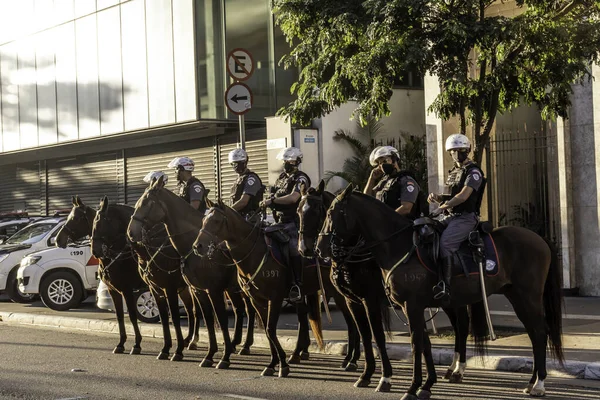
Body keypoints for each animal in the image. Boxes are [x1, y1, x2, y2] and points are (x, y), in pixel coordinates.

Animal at [129, 181, 255, 368]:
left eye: (146, 203)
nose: (131, 232)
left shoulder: (200, 290)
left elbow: (210, 319)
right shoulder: (188, 290)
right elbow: (201, 319)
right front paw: (207, 354)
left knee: (249, 310)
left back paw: (244, 346)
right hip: (232, 289)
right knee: (238, 310)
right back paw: (233, 344)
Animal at [191, 198, 326, 376]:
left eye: (217, 221)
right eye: (203, 221)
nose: (197, 246)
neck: (255, 252)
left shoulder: (274, 298)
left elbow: (270, 329)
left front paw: (282, 364)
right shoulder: (257, 300)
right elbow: (268, 331)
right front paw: (273, 363)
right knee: (304, 315)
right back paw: (298, 353)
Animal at [316, 186, 564, 398]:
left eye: (332, 213)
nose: (320, 249)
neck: (398, 245)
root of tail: (540, 238)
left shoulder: (398, 304)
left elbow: (409, 342)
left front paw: (406, 385)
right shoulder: (402, 306)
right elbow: (422, 342)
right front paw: (425, 385)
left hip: (527, 296)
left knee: (539, 332)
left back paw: (539, 384)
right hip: (510, 296)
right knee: (531, 333)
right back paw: (528, 382)